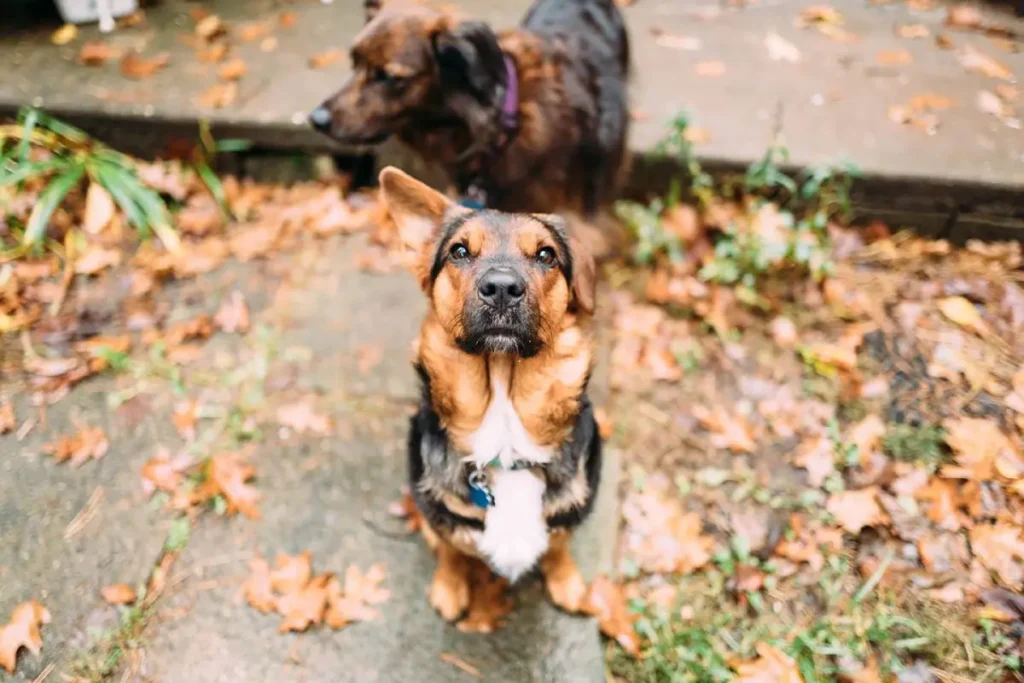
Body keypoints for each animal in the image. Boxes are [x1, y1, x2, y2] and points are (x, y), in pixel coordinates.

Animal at [376, 166, 598, 618]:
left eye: (546, 255)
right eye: (459, 251)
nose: (501, 288)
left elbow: (560, 545)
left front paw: (566, 579)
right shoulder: (443, 515)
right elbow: (450, 550)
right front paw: (449, 587)